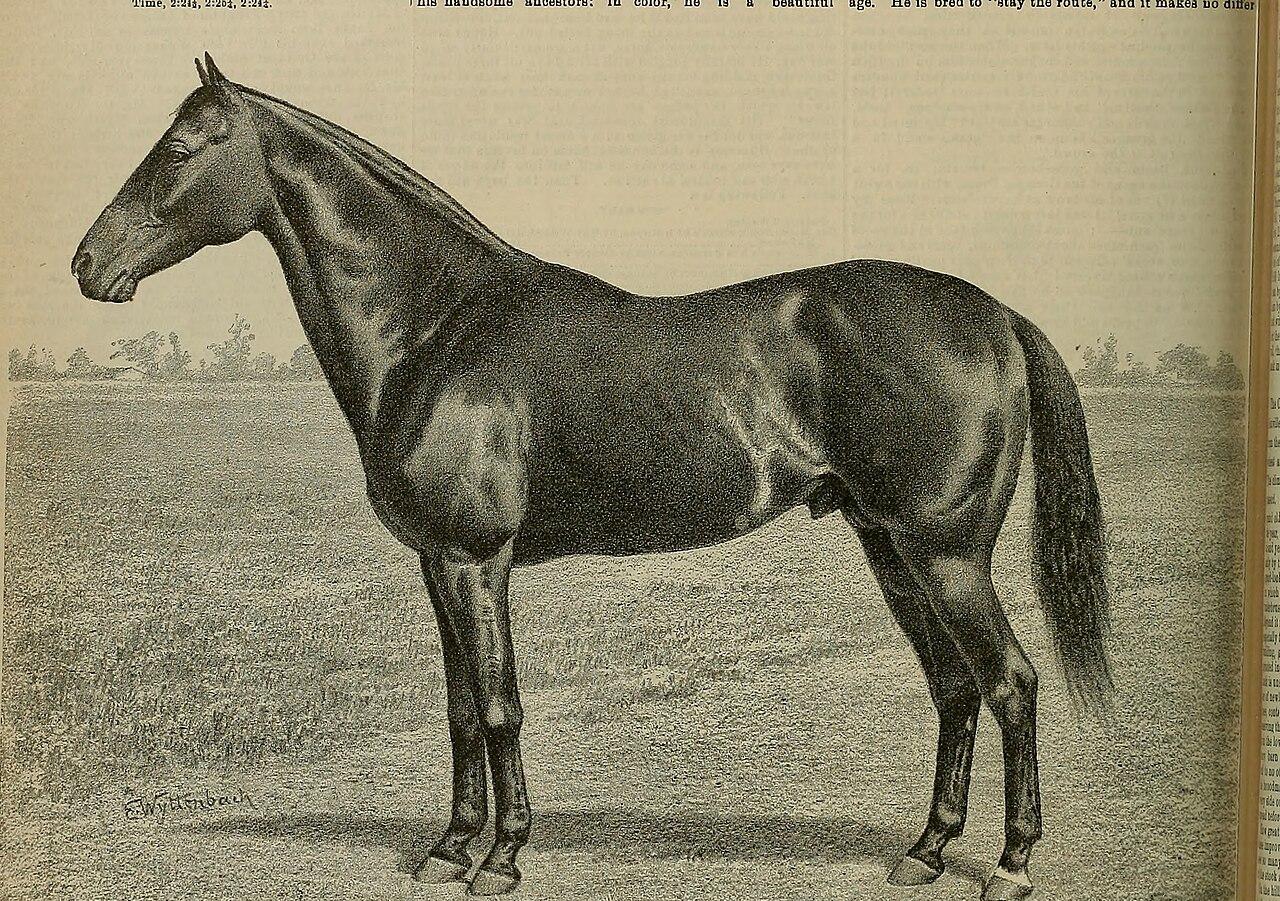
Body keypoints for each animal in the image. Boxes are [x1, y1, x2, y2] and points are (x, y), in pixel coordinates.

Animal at [73, 54, 1114, 901]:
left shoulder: (476, 559)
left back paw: (1011, 863)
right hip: (890, 548)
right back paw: (927, 850)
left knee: (1010, 681)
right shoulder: (436, 564)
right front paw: (449, 845)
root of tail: (996, 315)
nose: (88, 265)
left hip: (946, 555)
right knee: (954, 688)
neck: (436, 327)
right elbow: (460, 707)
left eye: (180, 149)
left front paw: (502, 857)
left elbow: (500, 705)